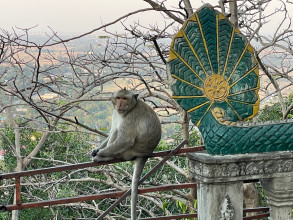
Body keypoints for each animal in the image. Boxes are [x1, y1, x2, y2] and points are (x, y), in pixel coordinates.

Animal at [91, 88, 161, 220]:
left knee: (119, 133)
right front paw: (96, 149)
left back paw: (106, 156)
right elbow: (112, 130)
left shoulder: (131, 117)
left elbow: (125, 139)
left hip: (129, 151)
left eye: (124, 99)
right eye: (118, 98)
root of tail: (145, 154)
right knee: (116, 129)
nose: (119, 104)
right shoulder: (115, 113)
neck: (129, 109)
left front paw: (101, 152)